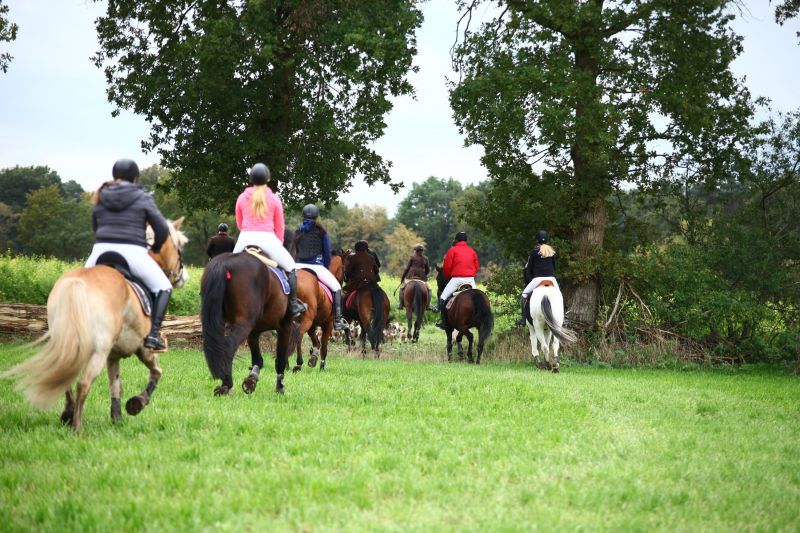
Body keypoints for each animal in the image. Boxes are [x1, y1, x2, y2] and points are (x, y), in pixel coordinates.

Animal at [1, 219, 188, 432]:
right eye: (179, 246)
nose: (183, 276)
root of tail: (76, 282)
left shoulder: (113, 355)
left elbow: (116, 385)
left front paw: (117, 418)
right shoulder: (143, 349)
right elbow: (156, 373)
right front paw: (136, 404)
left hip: (70, 343)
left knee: (66, 376)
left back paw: (68, 414)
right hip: (98, 351)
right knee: (83, 383)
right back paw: (77, 427)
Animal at [200, 251, 300, 396]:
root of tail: (225, 263)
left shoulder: (254, 332)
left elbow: (257, 360)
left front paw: (251, 380)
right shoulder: (284, 326)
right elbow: (280, 359)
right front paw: (279, 387)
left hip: (219, 320)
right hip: (244, 324)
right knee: (229, 346)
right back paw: (226, 384)